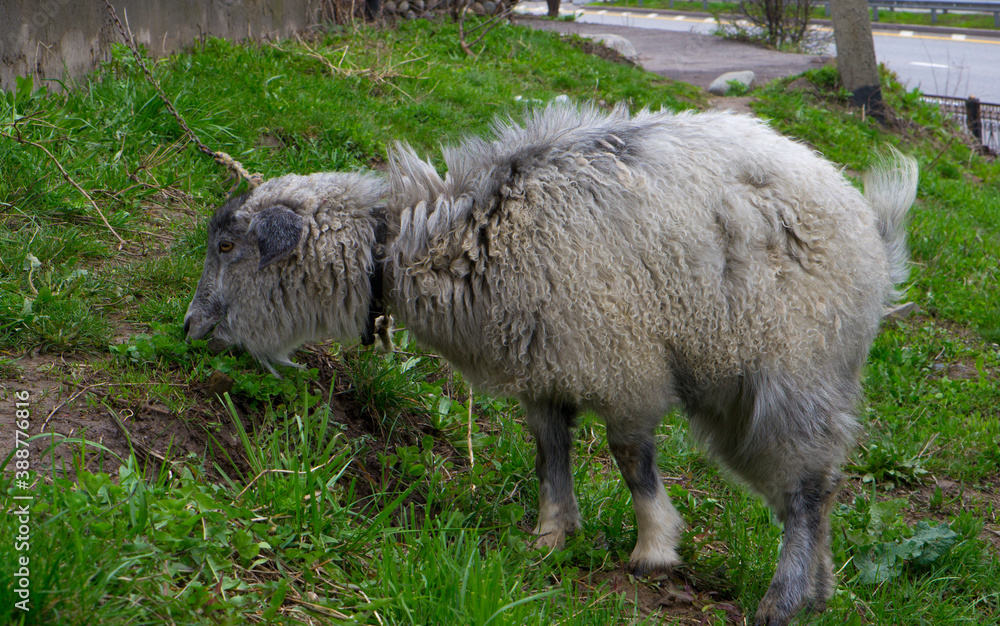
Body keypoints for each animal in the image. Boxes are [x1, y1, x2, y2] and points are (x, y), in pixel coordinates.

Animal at [184, 103, 917, 625]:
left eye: (227, 246)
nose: (190, 329)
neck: (447, 240)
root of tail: (873, 233)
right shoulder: (545, 368)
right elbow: (550, 452)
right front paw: (550, 537)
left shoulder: (621, 362)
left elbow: (630, 458)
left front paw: (653, 550)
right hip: (748, 393)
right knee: (815, 487)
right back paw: (817, 589)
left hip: (795, 373)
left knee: (807, 487)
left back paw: (781, 600)